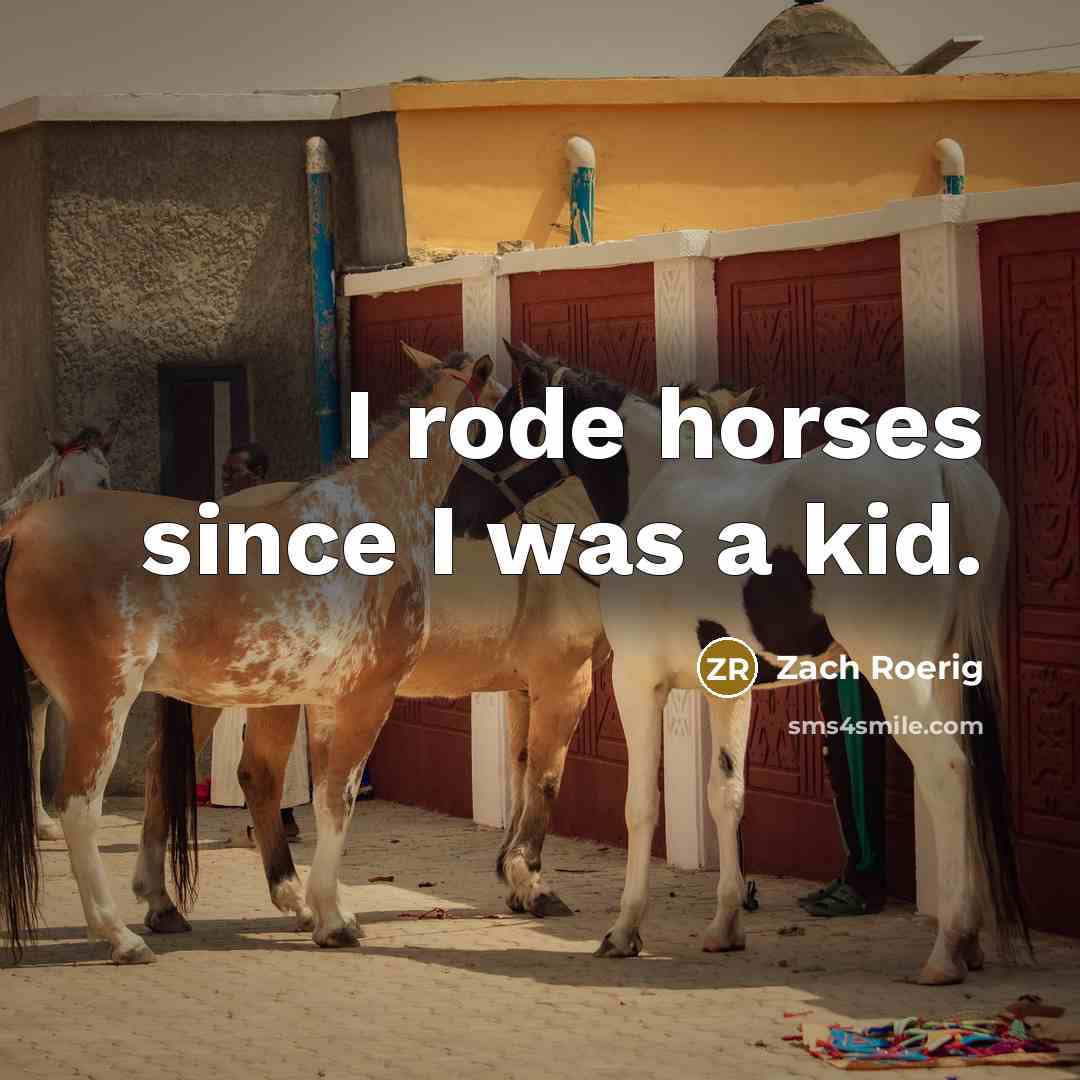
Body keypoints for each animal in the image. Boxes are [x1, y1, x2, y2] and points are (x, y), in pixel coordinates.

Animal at [441, 344, 1029, 986]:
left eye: (501, 421)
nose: (452, 510)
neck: (657, 491)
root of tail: (942, 471)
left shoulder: (636, 681)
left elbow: (641, 806)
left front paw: (624, 931)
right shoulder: (727, 686)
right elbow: (727, 795)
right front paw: (725, 926)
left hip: (899, 674)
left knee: (947, 773)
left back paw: (947, 949)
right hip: (945, 671)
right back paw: (970, 940)